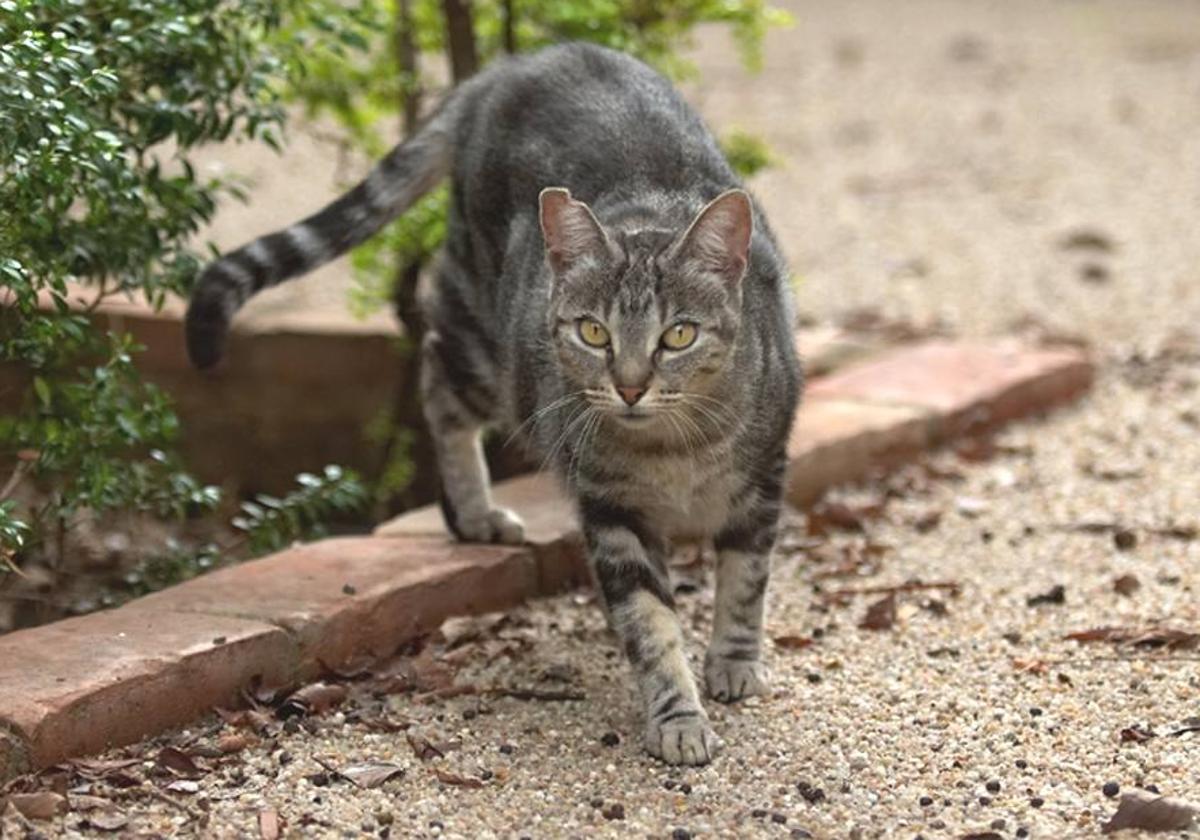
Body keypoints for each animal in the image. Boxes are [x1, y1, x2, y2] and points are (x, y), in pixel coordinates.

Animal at [189, 45, 806, 768]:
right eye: (592, 332)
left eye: (678, 335)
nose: (629, 386)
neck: (672, 450)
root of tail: (519, 63)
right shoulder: (611, 510)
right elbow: (650, 624)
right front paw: (677, 715)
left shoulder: (763, 479)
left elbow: (745, 582)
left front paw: (733, 662)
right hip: (491, 350)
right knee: (435, 374)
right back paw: (473, 512)